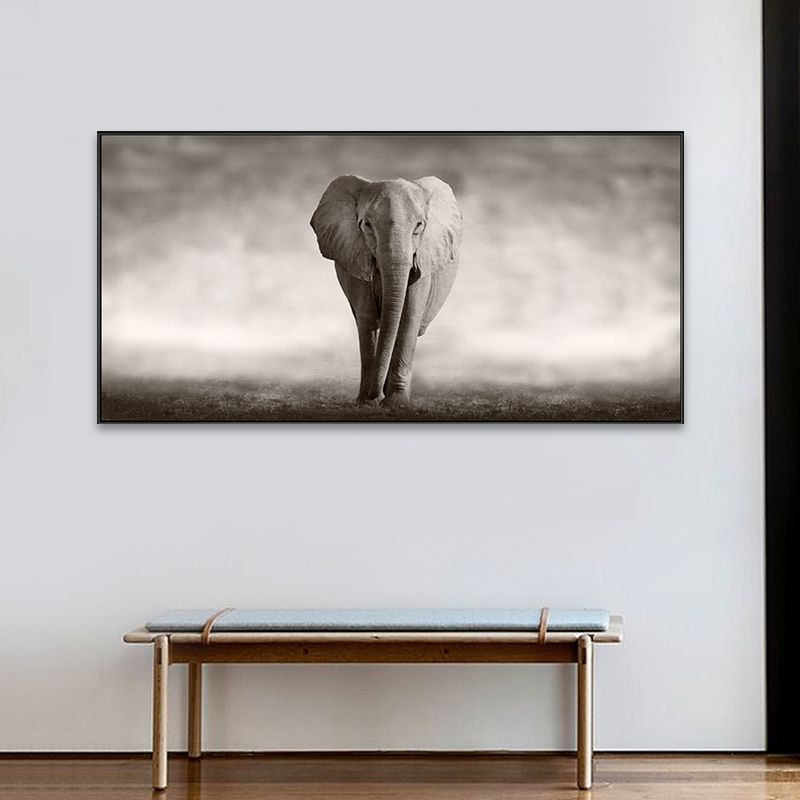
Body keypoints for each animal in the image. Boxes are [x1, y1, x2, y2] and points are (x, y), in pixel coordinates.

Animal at [310, 175, 462, 407]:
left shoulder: (422, 261)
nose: (376, 396)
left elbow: (408, 318)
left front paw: (396, 404)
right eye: (367, 225)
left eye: (419, 226)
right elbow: (367, 318)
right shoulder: (357, 257)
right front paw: (367, 402)